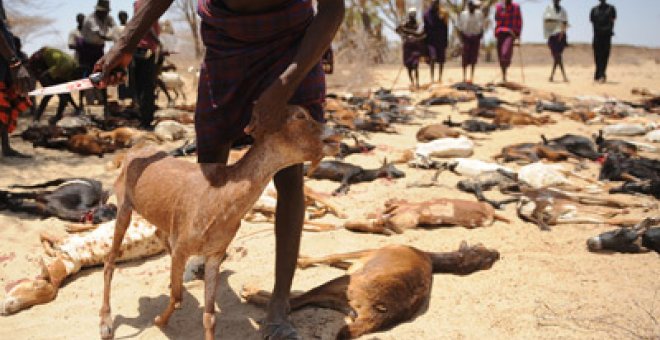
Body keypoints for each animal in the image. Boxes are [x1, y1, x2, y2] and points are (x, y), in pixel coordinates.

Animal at [100, 106, 342, 340]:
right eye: (299, 116)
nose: (336, 134)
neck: (219, 199)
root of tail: (133, 152)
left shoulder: (214, 253)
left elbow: (209, 316)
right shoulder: (182, 247)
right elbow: (177, 298)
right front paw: (159, 321)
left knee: (159, 237)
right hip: (124, 207)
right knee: (109, 261)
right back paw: (105, 323)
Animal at [242, 243, 500, 338]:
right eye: (482, 251)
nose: (497, 254)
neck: (431, 258)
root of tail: (381, 311)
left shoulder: (367, 251)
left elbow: (332, 255)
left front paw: (302, 260)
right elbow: (336, 259)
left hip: (342, 284)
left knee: (294, 302)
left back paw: (252, 292)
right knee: (300, 300)